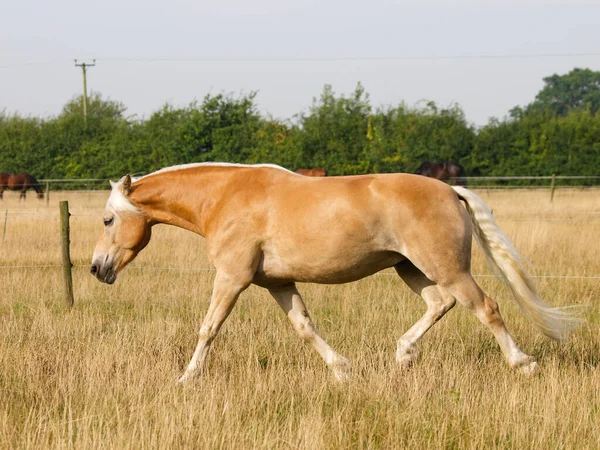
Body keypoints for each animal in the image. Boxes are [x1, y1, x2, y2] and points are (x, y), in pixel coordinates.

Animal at [90, 163, 576, 382]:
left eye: (108, 220)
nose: (97, 268)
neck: (223, 198)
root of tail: (449, 189)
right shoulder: (277, 282)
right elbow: (305, 327)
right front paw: (342, 370)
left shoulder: (232, 278)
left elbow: (208, 328)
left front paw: (187, 378)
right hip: (412, 269)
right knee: (442, 303)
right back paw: (403, 355)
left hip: (445, 267)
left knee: (486, 307)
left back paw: (523, 363)